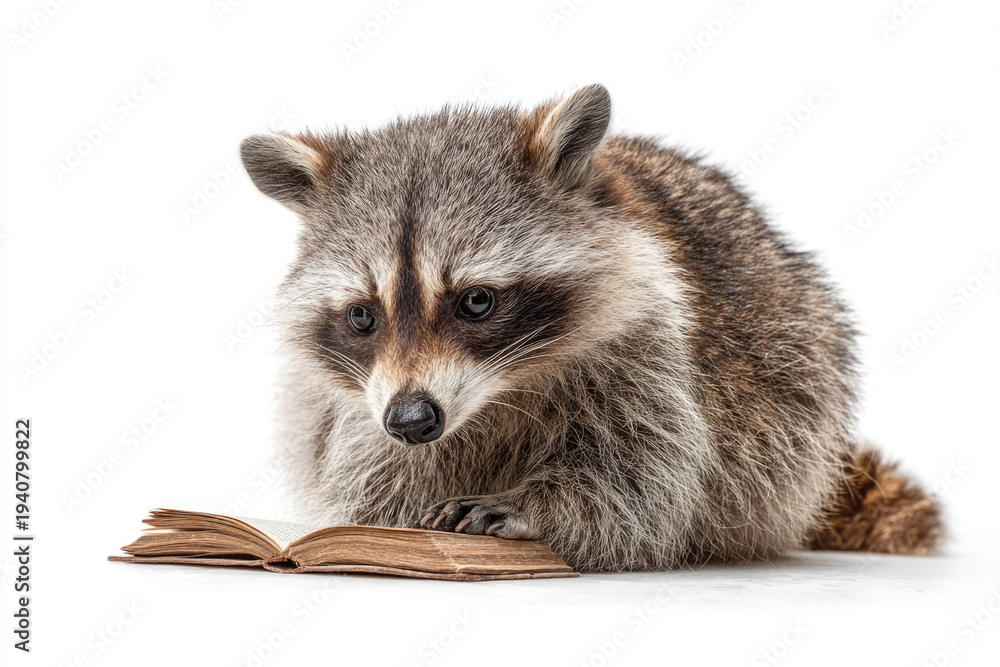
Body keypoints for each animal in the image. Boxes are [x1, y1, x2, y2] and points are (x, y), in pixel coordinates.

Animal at [240, 84, 943, 572]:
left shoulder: (654, 350)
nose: (413, 420)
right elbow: (374, 478)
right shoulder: (359, 406)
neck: (496, 394)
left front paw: (535, 508)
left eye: (476, 302)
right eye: (363, 315)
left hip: (801, 355)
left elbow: (644, 478)